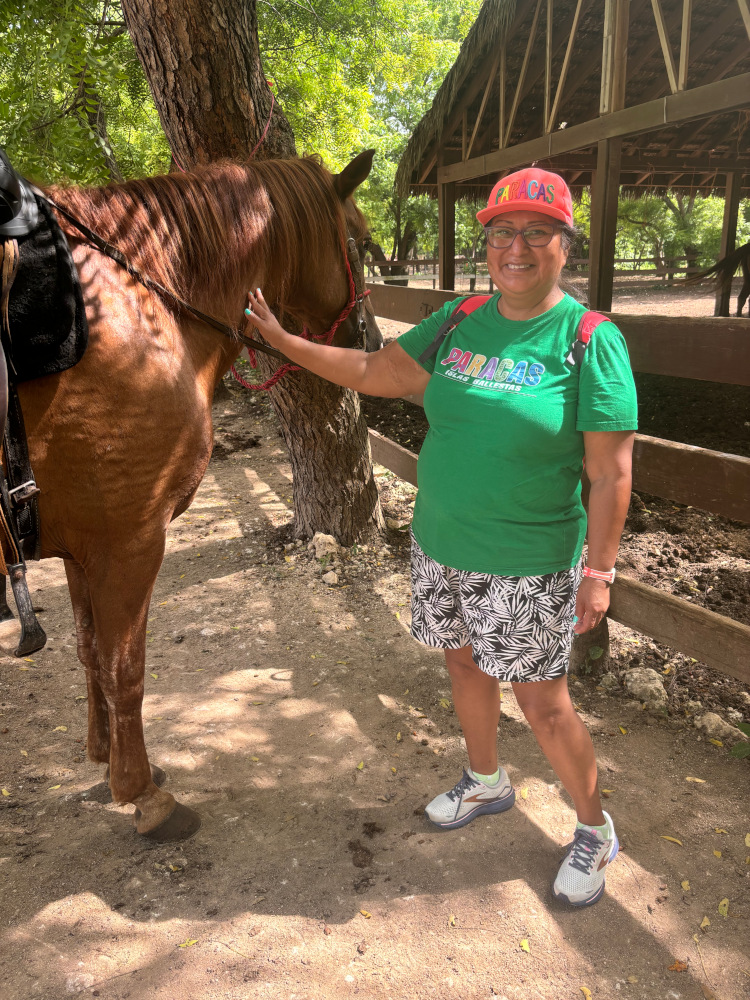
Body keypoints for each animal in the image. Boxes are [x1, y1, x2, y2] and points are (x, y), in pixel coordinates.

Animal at [13, 150, 382, 844]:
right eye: (356, 239)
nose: (371, 341)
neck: (137, 309)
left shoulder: (81, 547)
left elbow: (89, 651)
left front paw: (103, 757)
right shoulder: (130, 541)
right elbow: (125, 669)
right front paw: (142, 794)